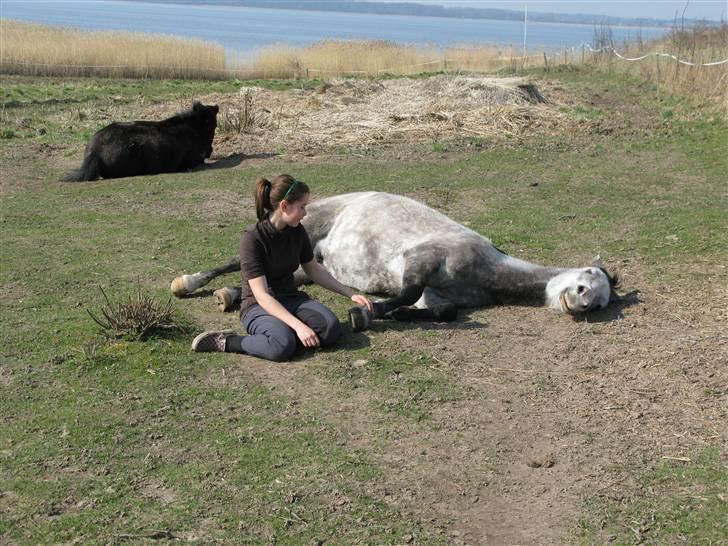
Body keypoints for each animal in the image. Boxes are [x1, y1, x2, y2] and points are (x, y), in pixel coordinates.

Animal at [172, 190, 620, 328]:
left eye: (601, 301)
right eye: (587, 273)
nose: (579, 299)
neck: (487, 271)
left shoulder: (438, 297)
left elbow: (443, 312)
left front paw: (401, 315)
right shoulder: (420, 260)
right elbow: (404, 293)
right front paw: (366, 313)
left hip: (306, 267)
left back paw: (228, 296)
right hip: (307, 230)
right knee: (236, 263)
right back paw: (189, 282)